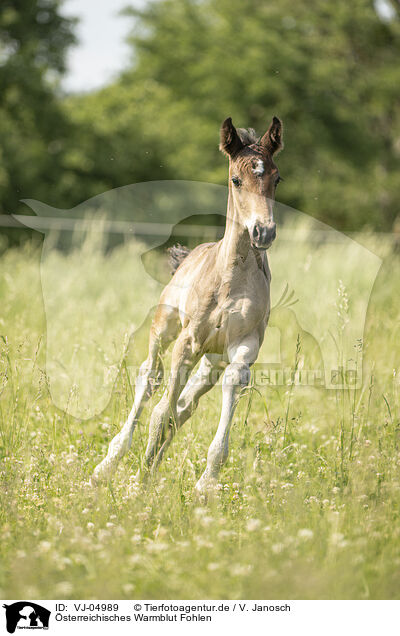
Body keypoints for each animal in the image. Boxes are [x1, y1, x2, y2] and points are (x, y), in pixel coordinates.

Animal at [92, 115, 282, 492]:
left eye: (276, 178)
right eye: (236, 179)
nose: (263, 232)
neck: (231, 281)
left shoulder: (243, 346)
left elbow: (224, 387)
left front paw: (205, 484)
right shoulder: (187, 341)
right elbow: (160, 412)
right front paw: (138, 484)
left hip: (211, 360)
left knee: (184, 406)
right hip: (164, 328)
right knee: (150, 378)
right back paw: (109, 464)